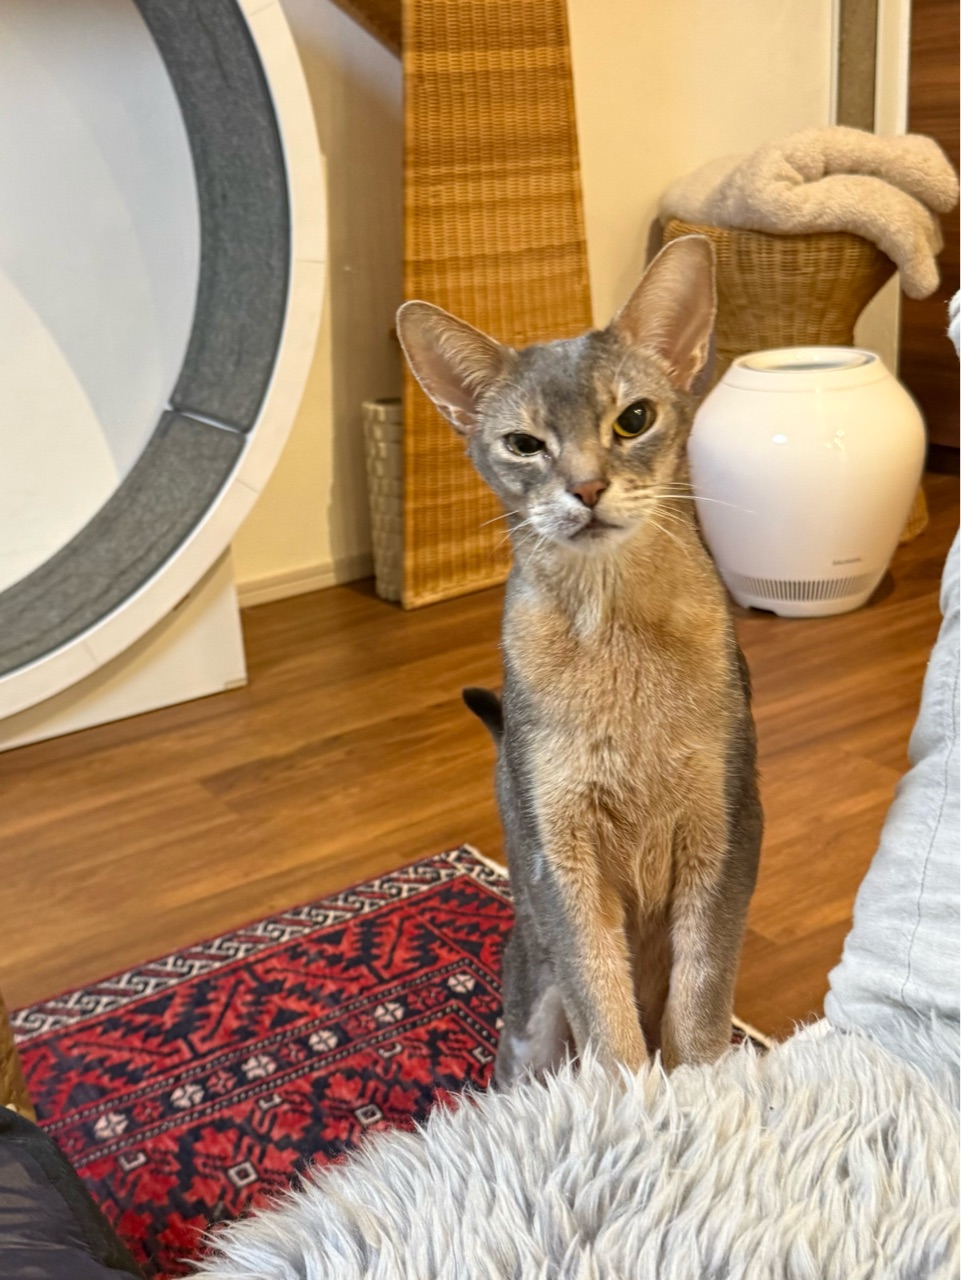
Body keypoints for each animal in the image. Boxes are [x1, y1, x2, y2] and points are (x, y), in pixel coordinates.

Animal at [396, 235, 762, 1085]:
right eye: (524, 444)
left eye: (634, 418)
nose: (587, 488)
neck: (614, 635)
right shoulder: (561, 859)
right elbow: (606, 1015)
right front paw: (632, 1107)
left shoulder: (723, 832)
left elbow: (698, 1011)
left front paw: (700, 1098)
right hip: (530, 1012)